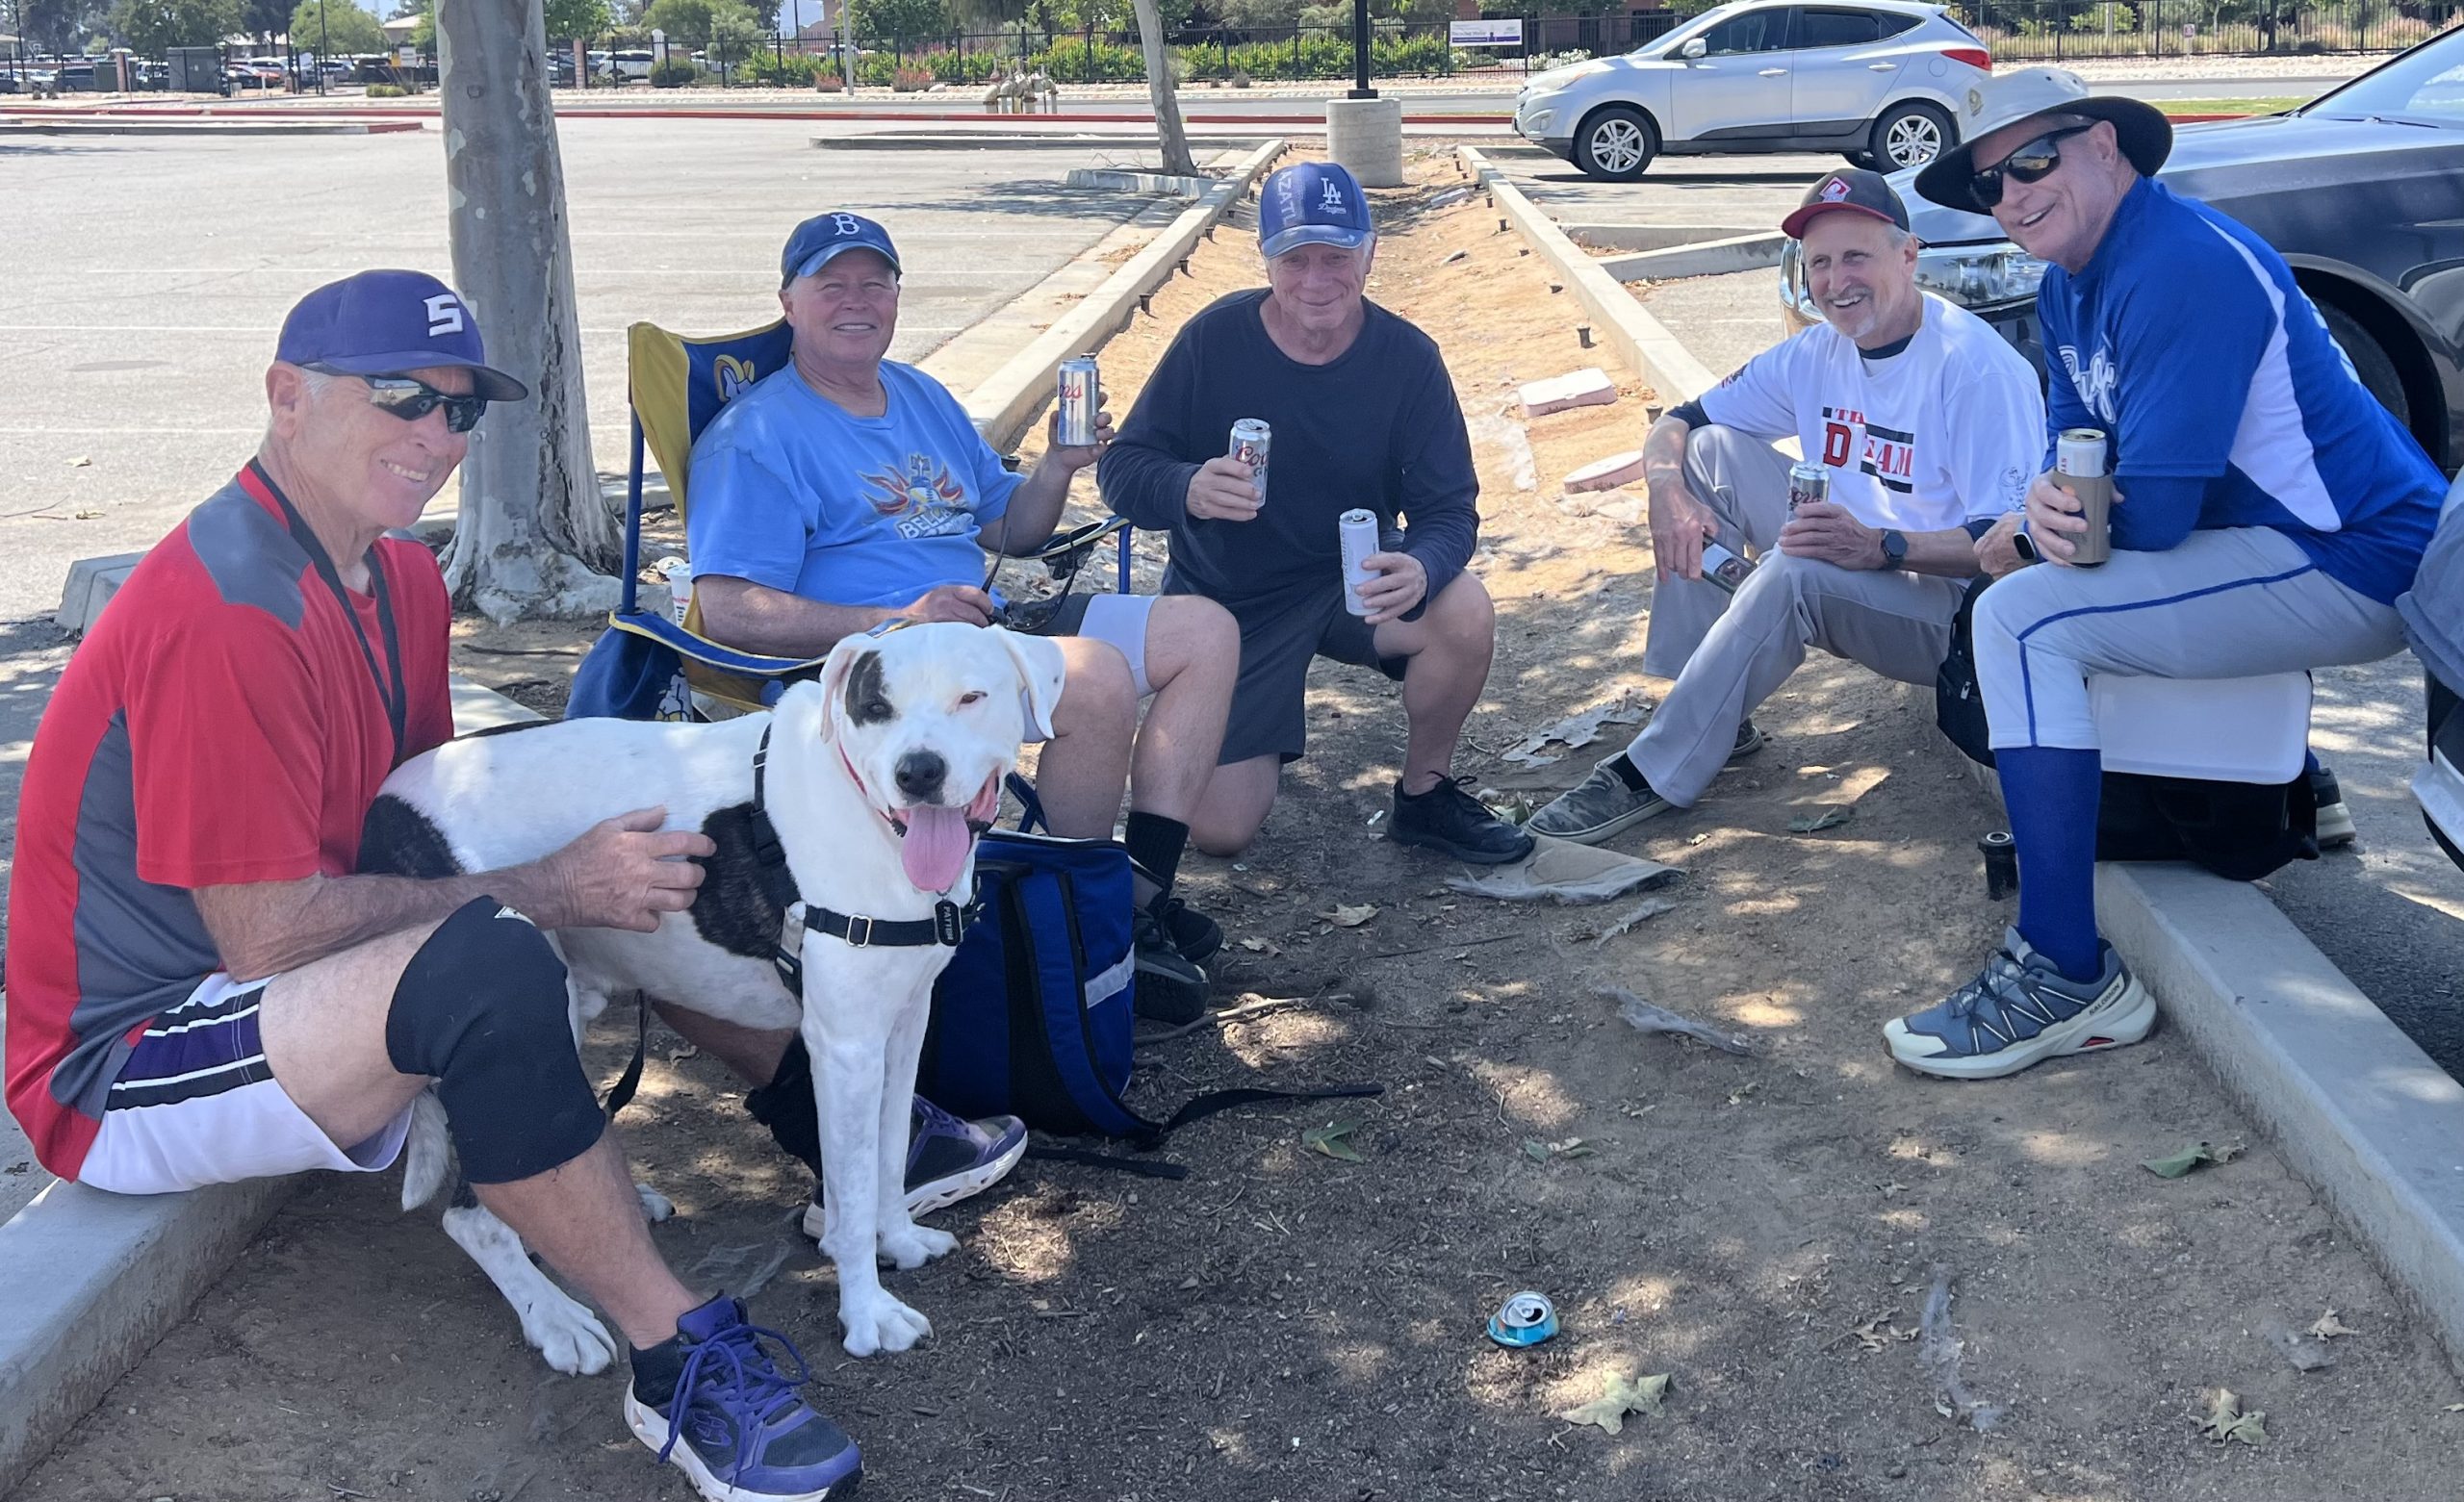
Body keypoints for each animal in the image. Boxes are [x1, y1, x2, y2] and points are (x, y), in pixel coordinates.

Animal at [360, 622, 1067, 1370]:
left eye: (971, 697)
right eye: (876, 707)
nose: (918, 772)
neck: (870, 817)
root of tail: (386, 802)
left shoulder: (903, 1026)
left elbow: (883, 1159)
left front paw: (898, 1241)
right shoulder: (846, 1049)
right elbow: (851, 1190)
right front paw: (867, 1311)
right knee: (470, 1217)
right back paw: (553, 1317)